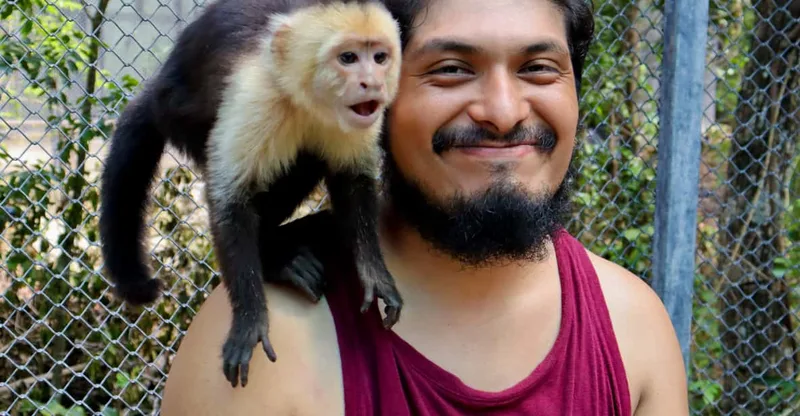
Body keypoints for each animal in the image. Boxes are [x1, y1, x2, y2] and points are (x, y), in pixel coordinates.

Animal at [98, 0, 403, 388]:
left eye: (380, 57)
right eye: (348, 58)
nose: (373, 82)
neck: (308, 101)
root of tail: (157, 92)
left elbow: (353, 182)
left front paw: (374, 276)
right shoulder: (257, 94)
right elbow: (231, 205)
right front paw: (249, 321)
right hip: (180, 118)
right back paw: (277, 259)